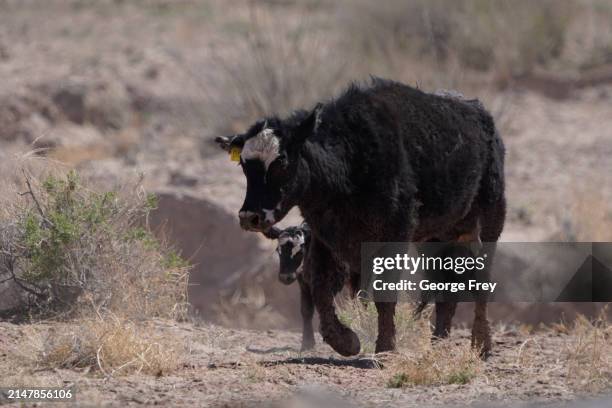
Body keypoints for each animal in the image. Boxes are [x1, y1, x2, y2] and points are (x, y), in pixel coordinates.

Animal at [218, 77, 504, 356]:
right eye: (244, 165)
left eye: (282, 162)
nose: (249, 217)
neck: (351, 161)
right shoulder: (324, 236)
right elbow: (321, 286)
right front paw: (344, 340)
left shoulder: (396, 233)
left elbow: (383, 290)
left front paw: (385, 347)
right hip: (436, 236)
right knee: (445, 284)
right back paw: (438, 343)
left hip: (491, 216)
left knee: (482, 276)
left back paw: (481, 343)